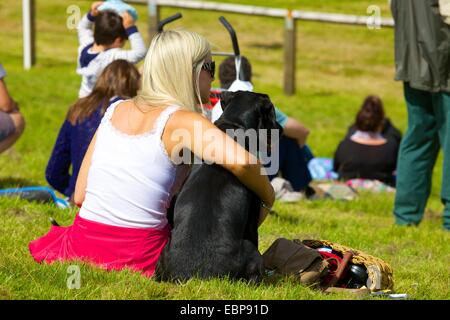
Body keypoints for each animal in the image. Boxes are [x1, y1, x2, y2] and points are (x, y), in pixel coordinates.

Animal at [156, 90, 282, 282]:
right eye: (272, 113)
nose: (281, 129)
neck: (235, 124)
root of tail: (197, 276)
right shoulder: (253, 216)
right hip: (252, 252)